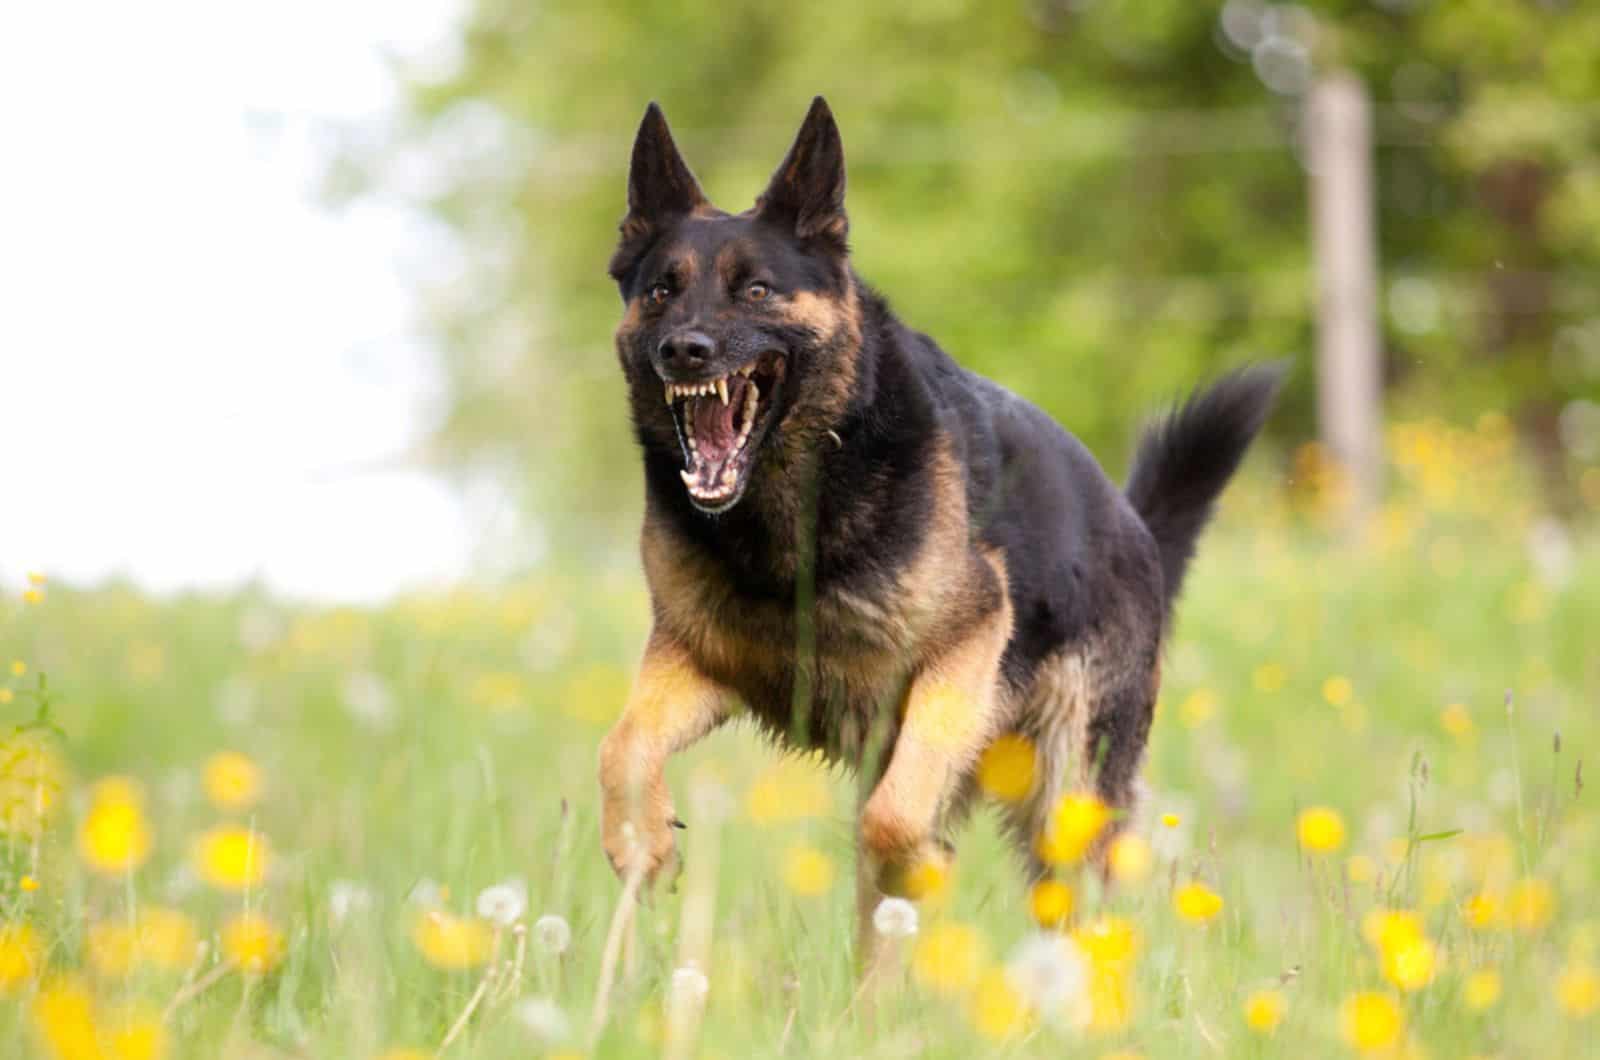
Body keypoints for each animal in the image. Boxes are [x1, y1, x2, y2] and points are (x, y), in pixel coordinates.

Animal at [601, 99, 1286, 960]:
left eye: (755, 289)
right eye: (663, 289)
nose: (683, 350)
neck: (795, 511)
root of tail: (1135, 529)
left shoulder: (963, 651)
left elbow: (894, 822)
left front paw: (920, 861)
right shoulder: (695, 659)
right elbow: (621, 747)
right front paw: (640, 839)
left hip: (1066, 799)